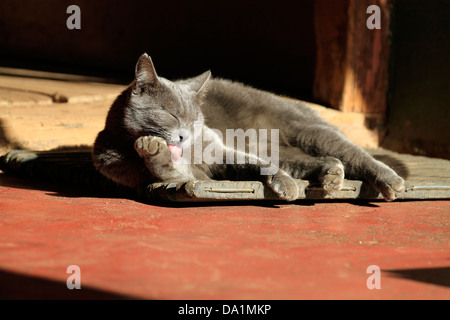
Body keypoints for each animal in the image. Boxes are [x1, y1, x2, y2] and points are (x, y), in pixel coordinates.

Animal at [91, 53, 404, 201]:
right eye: (170, 114)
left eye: (195, 119)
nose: (186, 135)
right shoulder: (183, 173)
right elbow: (172, 171)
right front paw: (152, 148)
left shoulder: (218, 151)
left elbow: (253, 163)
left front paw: (285, 185)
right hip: (281, 148)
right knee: (313, 159)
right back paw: (331, 175)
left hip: (305, 129)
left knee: (354, 153)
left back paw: (390, 181)